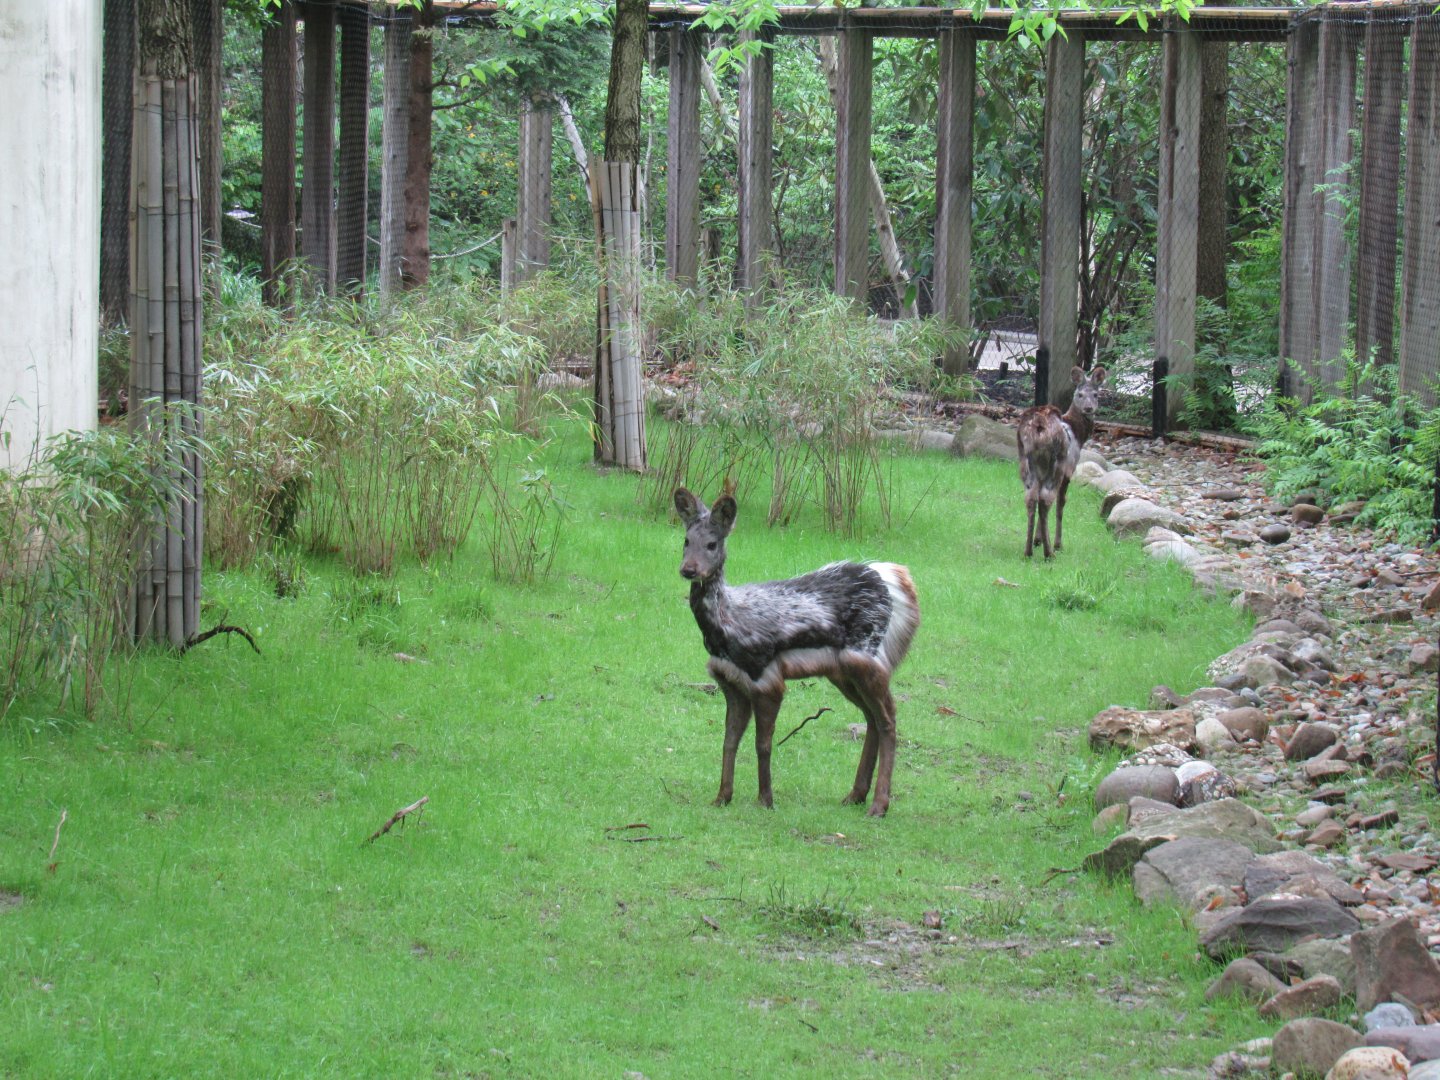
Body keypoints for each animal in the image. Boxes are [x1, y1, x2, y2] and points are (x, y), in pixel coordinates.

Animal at [674, 488, 920, 818]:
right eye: (686, 540)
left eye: (712, 543)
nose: (689, 570)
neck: (726, 628)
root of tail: (898, 581)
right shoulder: (731, 681)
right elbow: (729, 741)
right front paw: (722, 797)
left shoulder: (767, 678)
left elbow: (762, 744)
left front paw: (766, 800)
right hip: (843, 672)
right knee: (872, 717)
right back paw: (855, 795)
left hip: (866, 658)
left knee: (888, 718)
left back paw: (879, 805)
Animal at [1016, 365, 1108, 559]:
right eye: (1079, 394)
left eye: (1096, 394)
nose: (1088, 408)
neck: (1079, 434)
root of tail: (1039, 425)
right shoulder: (1070, 469)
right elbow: (1061, 504)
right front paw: (1057, 543)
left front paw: (1038, 539)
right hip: (1057, 463)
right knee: (1046, 499)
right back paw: (1050, 552)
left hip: (1026, 461)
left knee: (1031, 498)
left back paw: (1028, 551)